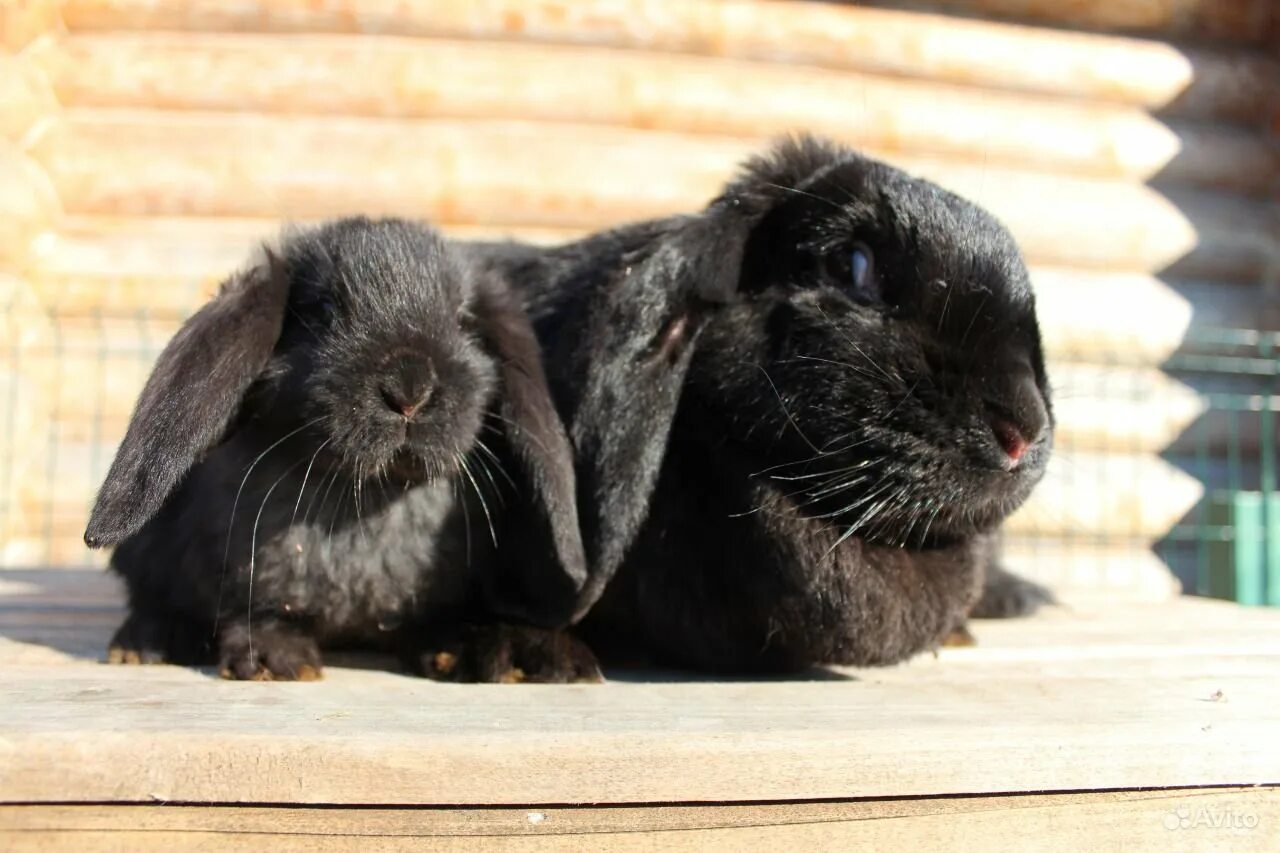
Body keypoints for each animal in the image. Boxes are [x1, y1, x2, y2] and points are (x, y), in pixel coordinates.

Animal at [87, 216, 596, 681]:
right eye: (321, 313)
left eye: (464, 320)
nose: (409, 390)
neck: (369, 497)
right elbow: (253, 613)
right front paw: (276, 660)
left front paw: (455, 648)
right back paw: (144, 644)